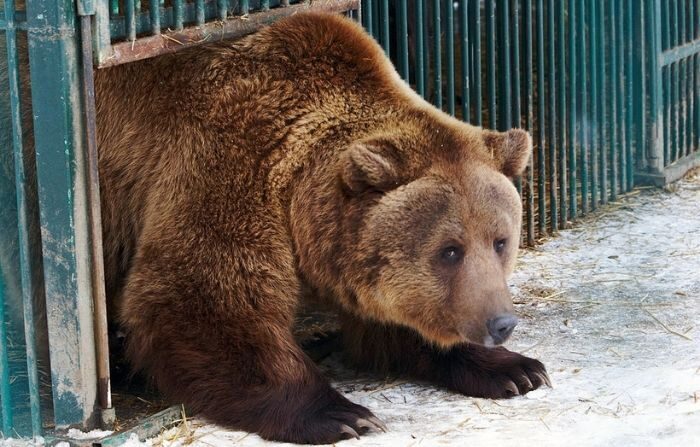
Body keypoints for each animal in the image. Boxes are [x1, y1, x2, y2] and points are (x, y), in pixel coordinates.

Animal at [94, 10, 552, 444]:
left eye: (500, 241)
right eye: (450, 249)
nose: (501, 323)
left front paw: (516, 370)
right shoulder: (226, 166)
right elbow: (204, 299)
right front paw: (342, 415)